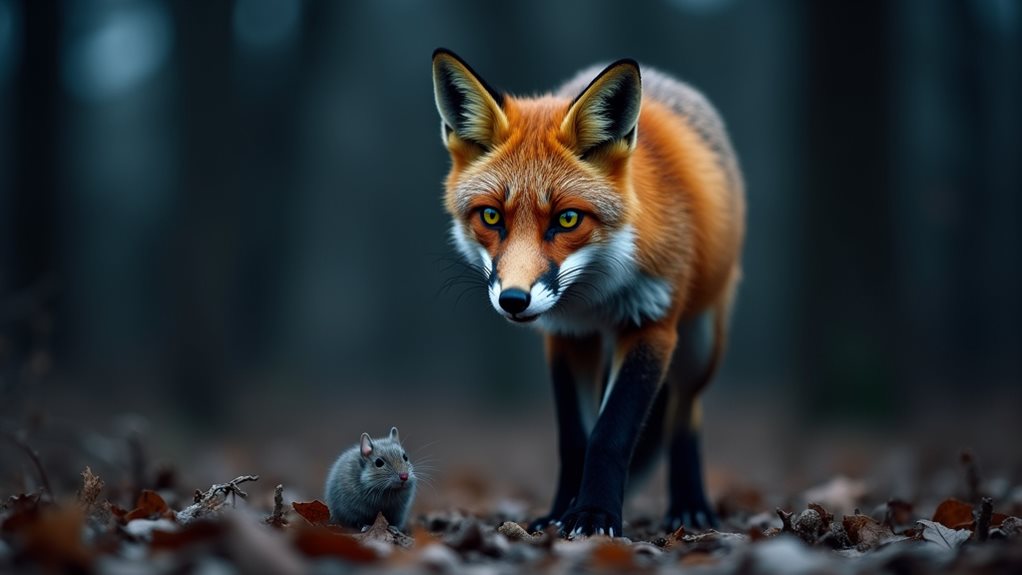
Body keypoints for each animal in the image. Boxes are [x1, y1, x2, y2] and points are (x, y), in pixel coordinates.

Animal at [432, 48, 745, 537]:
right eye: (491, 216)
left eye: (566, 220)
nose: (514, 300)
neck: (596, 295)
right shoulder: (567, 335)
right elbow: (575, 440)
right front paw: (561, 513)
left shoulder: (651, 325)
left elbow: (610, 434)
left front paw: (596, 515)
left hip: (700, 343)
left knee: (685, 413)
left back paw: (689, 505)